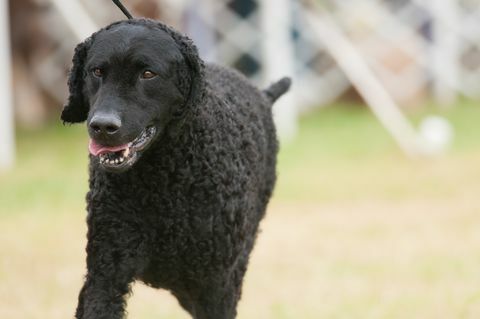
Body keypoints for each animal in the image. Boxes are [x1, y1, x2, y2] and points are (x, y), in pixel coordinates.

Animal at [62, 19, 290, 319]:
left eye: (148, 74)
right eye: (97, 71)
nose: (102, 126)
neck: (162, 182)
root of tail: (261, 93)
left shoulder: (216, 284)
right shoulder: (106, 272)